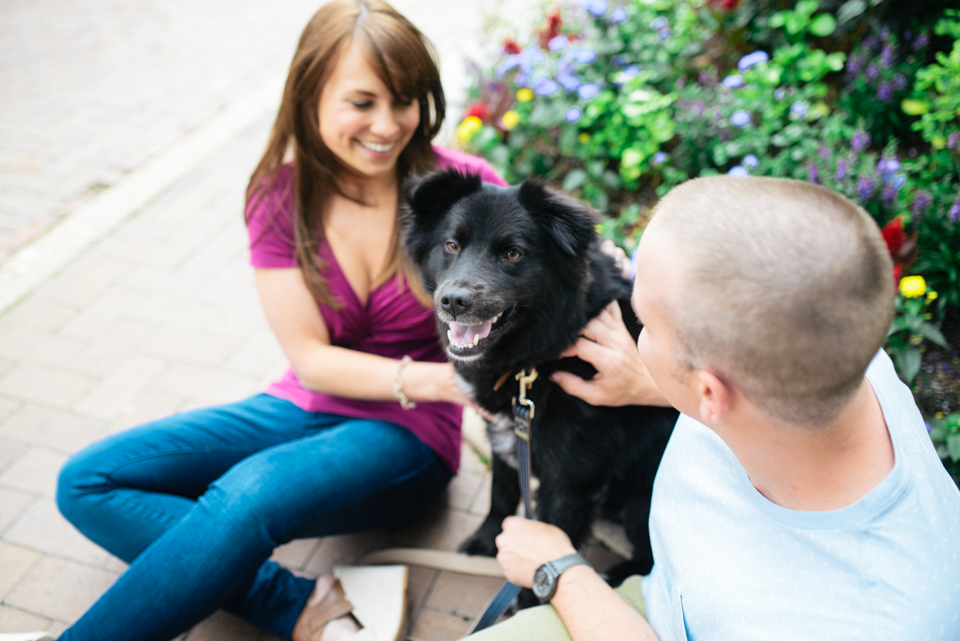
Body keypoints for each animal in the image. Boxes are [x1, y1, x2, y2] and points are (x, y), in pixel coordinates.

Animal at [402, 170, 680, 592]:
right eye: (451, 245)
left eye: (513, 254)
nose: (452, 301)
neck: (535, 359)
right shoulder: (507, 433)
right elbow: (501, 494)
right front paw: (485, 540)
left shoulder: (573, 476)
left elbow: (553, 537)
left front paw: (524, 595)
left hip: (644, 504)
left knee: (650, 560)